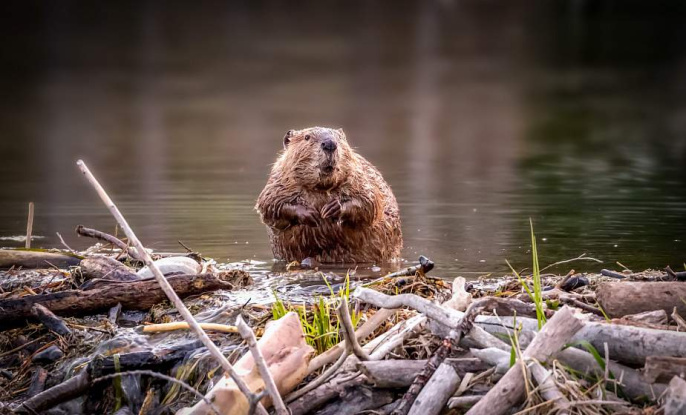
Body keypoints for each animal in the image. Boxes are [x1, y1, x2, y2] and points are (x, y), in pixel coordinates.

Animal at [255, 127, 404, 264]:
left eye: (339, 137)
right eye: (307, 137)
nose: (330, 144)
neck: (321, 188)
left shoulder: (360, 176)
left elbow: (370, 201)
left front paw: (332, 209)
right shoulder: (278, 181)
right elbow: (269, 205)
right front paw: (310, 214)